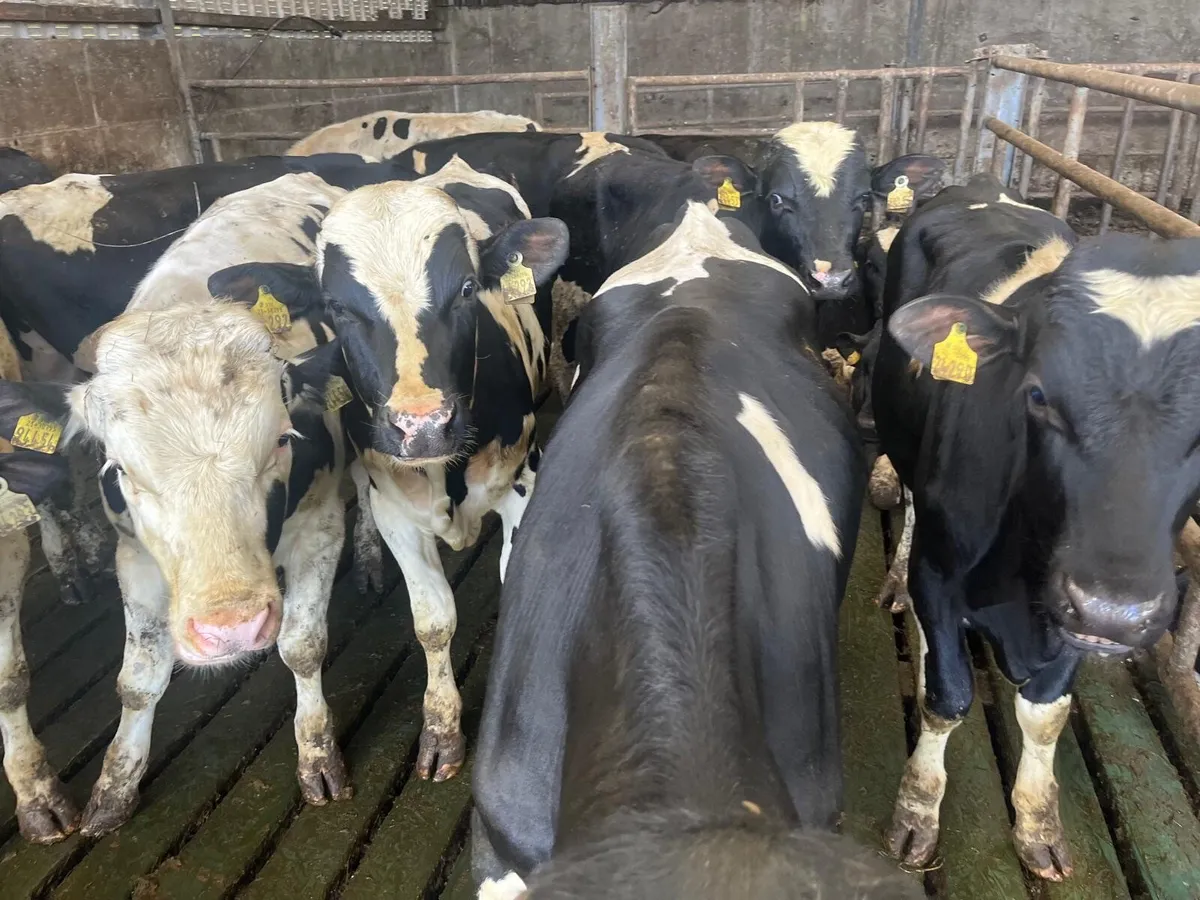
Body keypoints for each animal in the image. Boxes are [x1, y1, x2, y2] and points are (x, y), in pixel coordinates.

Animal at [208, 157, 568, 783]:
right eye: (335, 308)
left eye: (467, 289)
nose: (421, 425)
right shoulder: (396, 508)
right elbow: (433, 622)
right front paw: (442, 732)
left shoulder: (525, 481)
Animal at [871, 174, 1200, 881]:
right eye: (1038, 394)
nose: (1115, 609)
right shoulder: (941, 575)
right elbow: (947, 695)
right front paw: (916, 811)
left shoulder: (1070, 612)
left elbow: (1046, 714)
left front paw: (1038, 820)